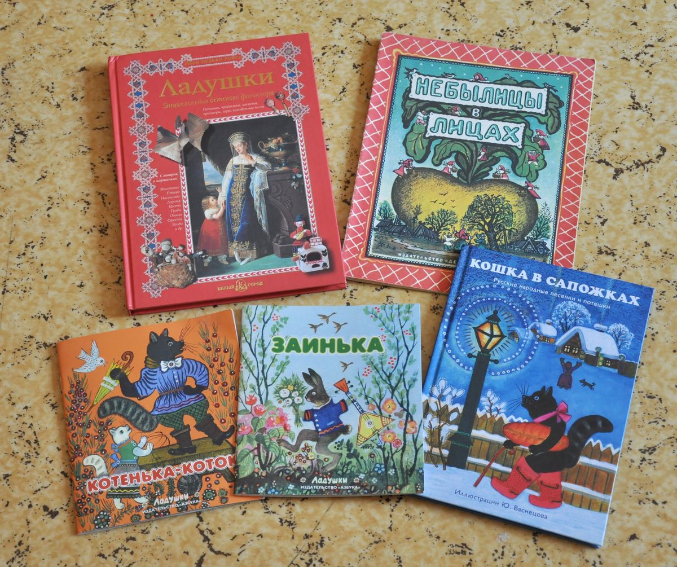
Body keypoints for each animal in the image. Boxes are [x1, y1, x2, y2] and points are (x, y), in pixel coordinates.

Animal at [100, 328, 234, 456]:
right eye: (170, 343)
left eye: (173, 340)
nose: (181, 342)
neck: (169, 363)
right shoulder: (150, 375)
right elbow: (140, 388)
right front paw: (119, 374)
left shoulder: (187, 363)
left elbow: (199, 369)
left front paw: (191, 388)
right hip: (171, 415)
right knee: (180, 428)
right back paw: (186, 449)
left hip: (196, 404)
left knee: (202, 418)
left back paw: (219, 437)